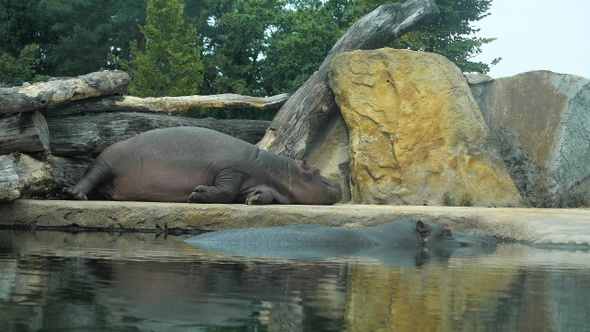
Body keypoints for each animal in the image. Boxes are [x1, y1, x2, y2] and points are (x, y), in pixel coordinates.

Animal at [63, 127, 342, 205]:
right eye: (317, 171)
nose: (338, 184)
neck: (277, 171)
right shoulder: (231, 171)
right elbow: (225, 191)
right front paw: (197, 194)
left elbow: (262, 194)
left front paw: (253, 199)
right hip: (107, 162)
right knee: (89, 176)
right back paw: (74, 194)